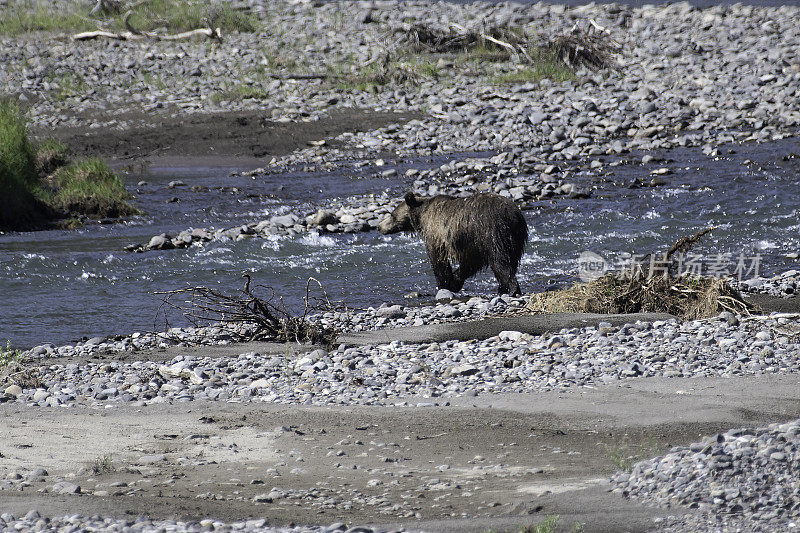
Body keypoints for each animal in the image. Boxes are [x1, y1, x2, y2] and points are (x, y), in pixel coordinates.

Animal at [378, 192, 528, 296]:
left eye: (392, 214)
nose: (379, 226)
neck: (421, 216)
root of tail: (514, 214)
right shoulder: (472, 243)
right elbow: (471, 262)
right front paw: (455, 281)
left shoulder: (436, 232)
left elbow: (438, 260)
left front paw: (444, 285)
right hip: (516, 237)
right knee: (510, 261)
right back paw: (503, 288)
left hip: (493, 232)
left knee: (500, 261)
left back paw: (511, 289)